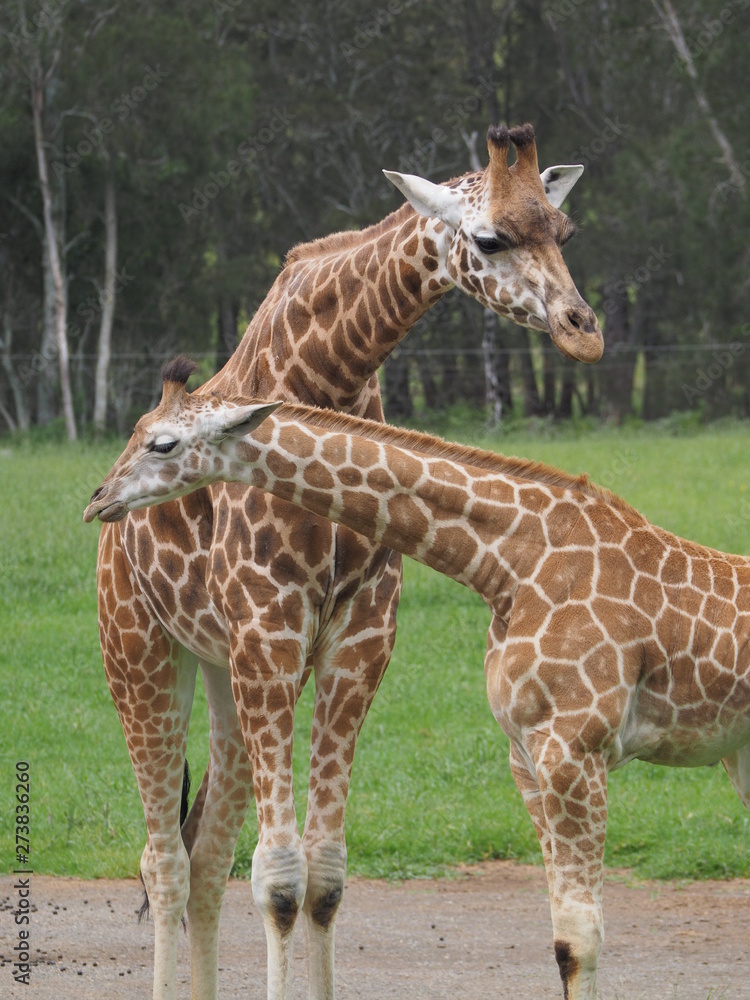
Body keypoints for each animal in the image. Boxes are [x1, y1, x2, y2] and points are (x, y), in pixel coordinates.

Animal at [87, 361, 750, 1000]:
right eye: (136, 431)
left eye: (163, 444)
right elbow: (563, 932)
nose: (98, 500)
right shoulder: (527, 755)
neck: (510, 563)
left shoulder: (574, 748)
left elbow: (580, 936)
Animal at [93, 124, 603, 1000]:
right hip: (141, 655)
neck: (330, 375)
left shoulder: (357, 641)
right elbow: (278, 876)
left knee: (203, 855)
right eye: (488, 238)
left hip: (222, 672)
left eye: (562, 231)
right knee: (162, 861)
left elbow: (324, 875)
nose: (582, 328)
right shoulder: (270, 637)